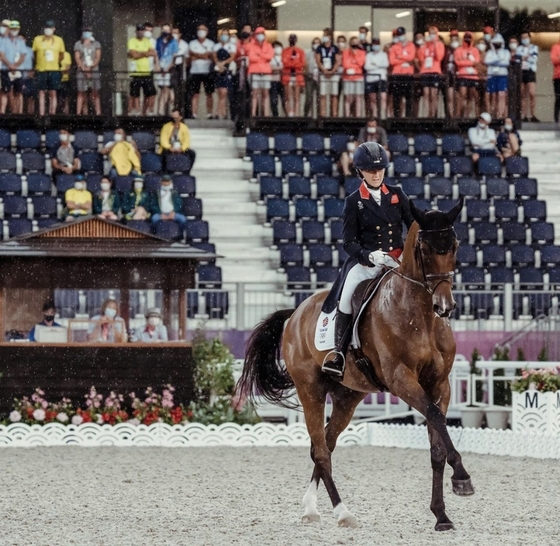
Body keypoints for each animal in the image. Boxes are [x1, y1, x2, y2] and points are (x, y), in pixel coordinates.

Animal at [235, 198, 472, 528]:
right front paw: (462, 477)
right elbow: (436, 416)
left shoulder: (439, 383)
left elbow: (436, 442)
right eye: (424, 249)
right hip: (310, 390)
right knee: (321, 450)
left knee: (324, 445)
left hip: (347, 396)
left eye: (454, 246)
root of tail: (296, 313)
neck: (421, 316)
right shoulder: (401, 379)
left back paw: (311, 507)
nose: (445, 306)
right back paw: (342, 512)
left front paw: (441, 514)